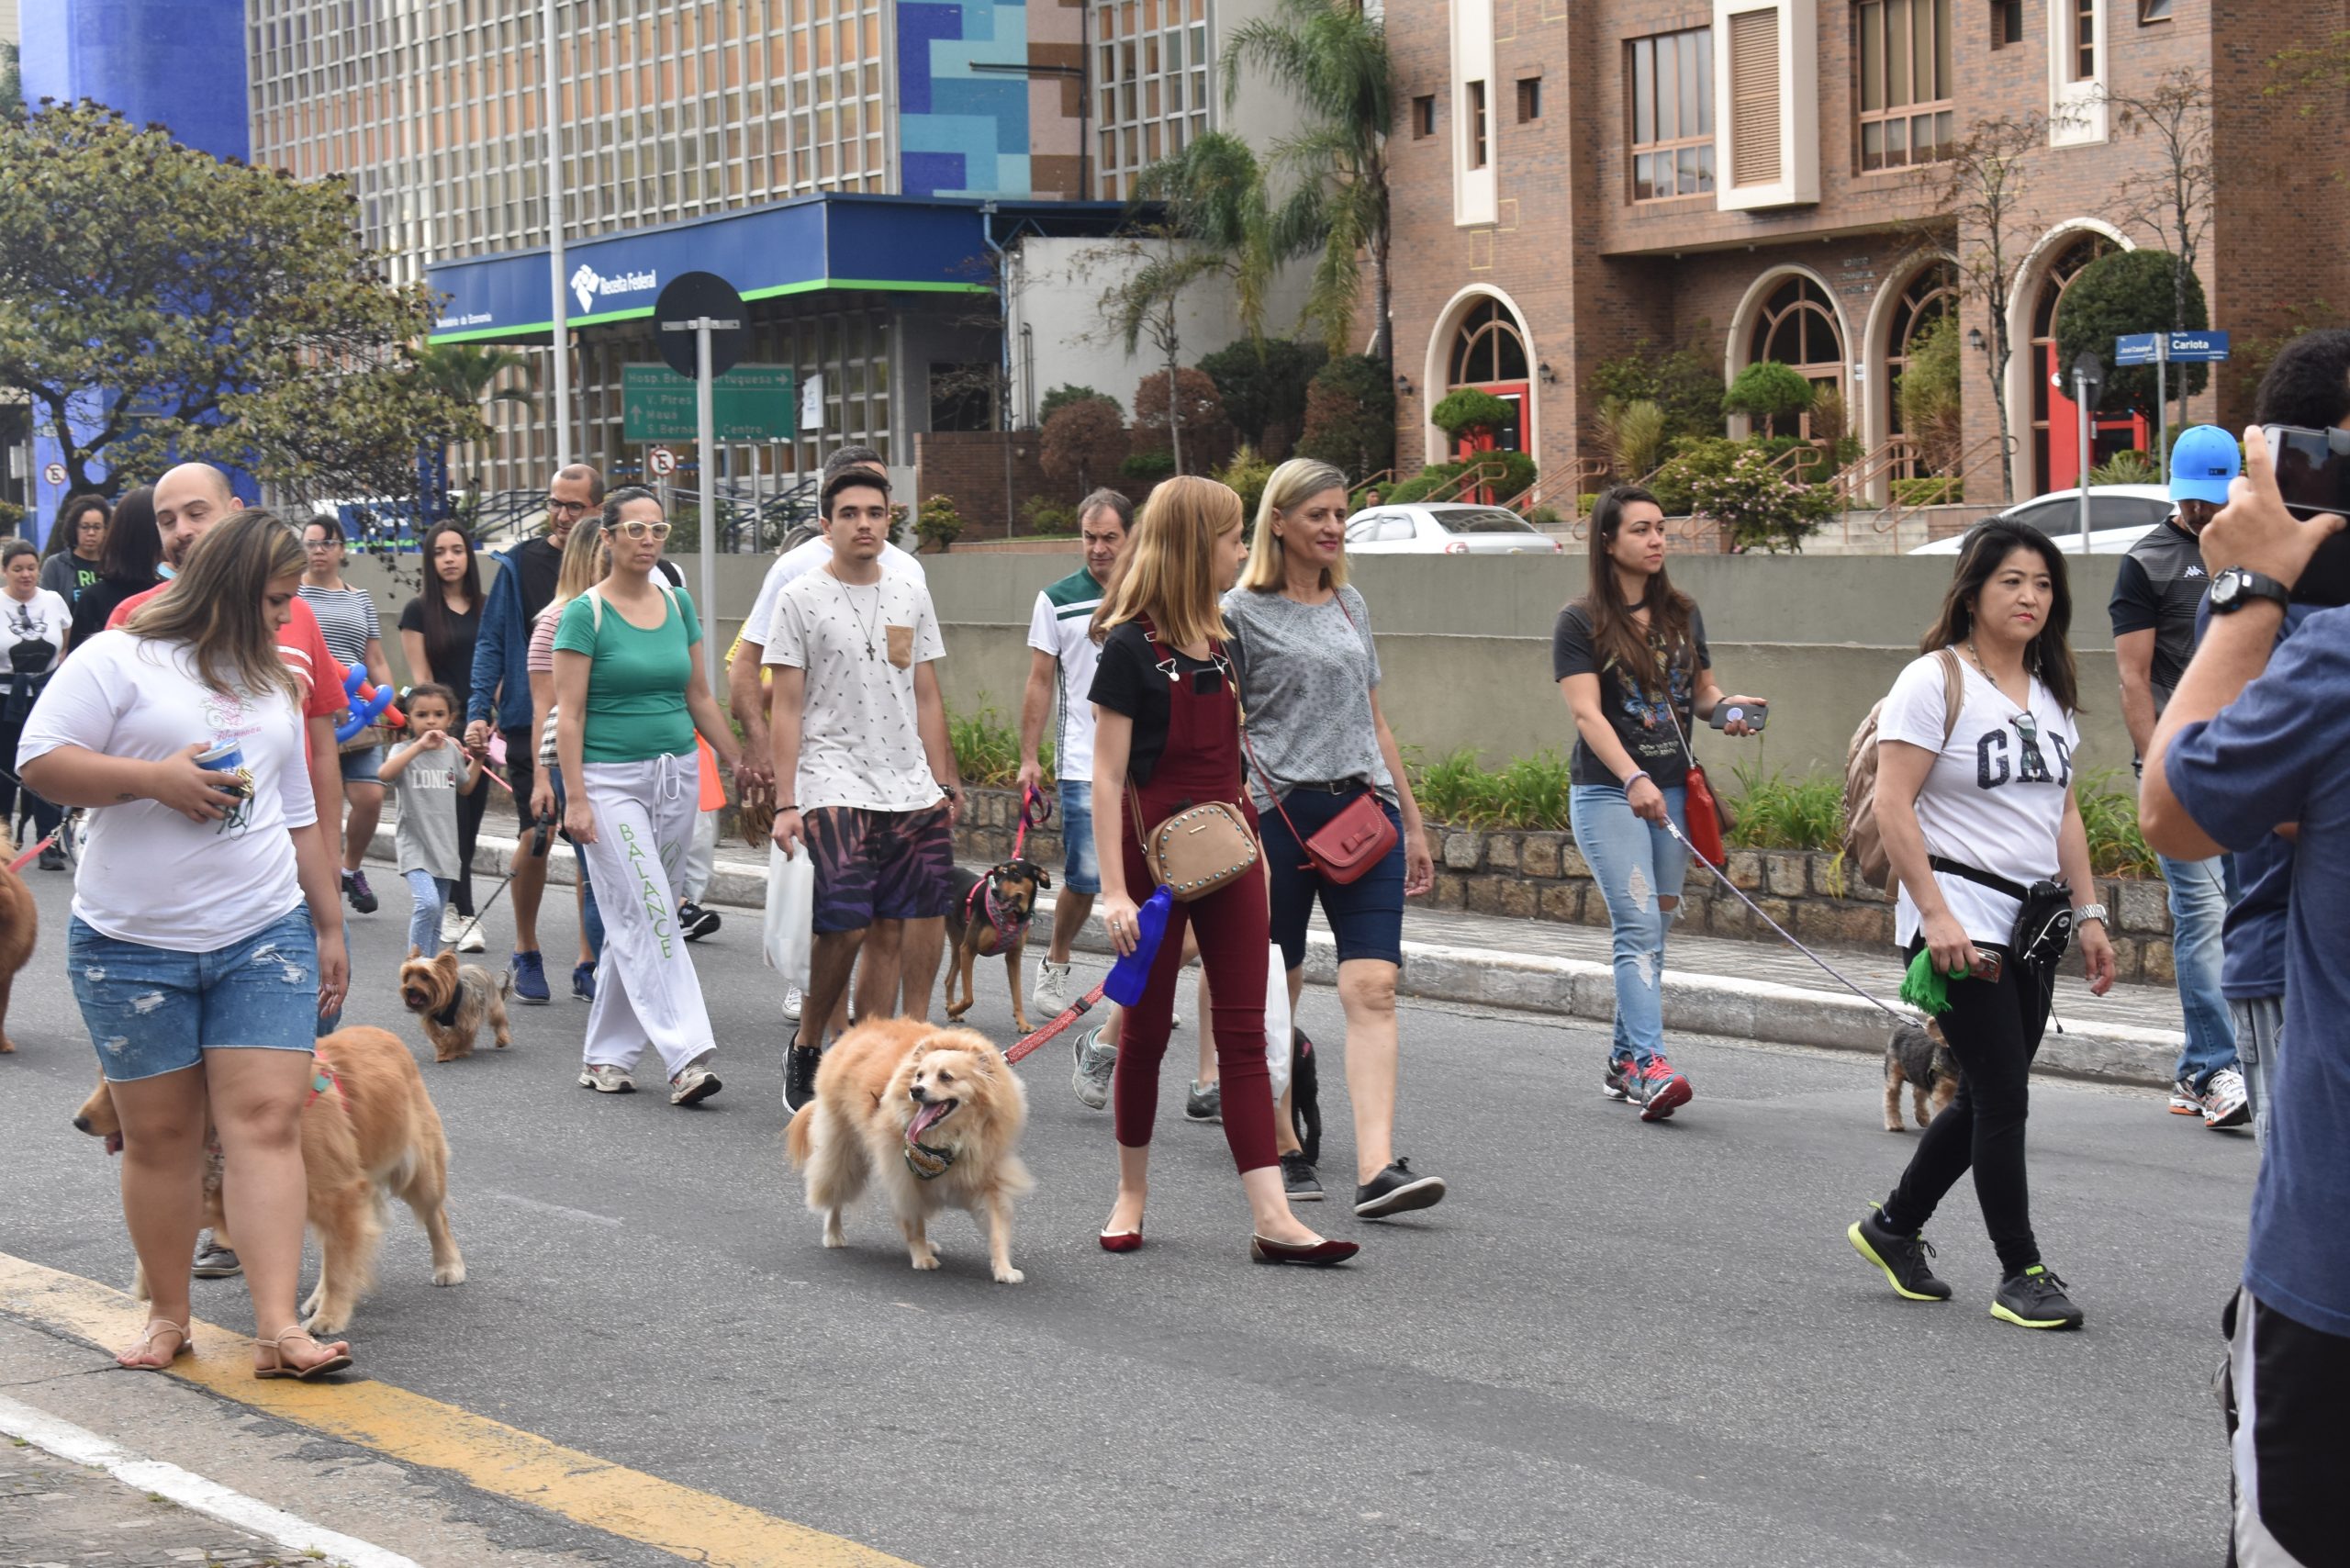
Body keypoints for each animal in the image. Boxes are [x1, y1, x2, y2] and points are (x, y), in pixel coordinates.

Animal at [940, 865, 1052, 1034]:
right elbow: (969, 998)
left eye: (1016, 873)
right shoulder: (968, 950)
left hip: (958, 943)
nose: (995, 891)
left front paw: (1023, 1024)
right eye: (998, 875)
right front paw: (953, 1009)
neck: (1012, 917)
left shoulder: (1013, 957)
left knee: (948, 979)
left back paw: (952, 1010)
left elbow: (1018, 996)